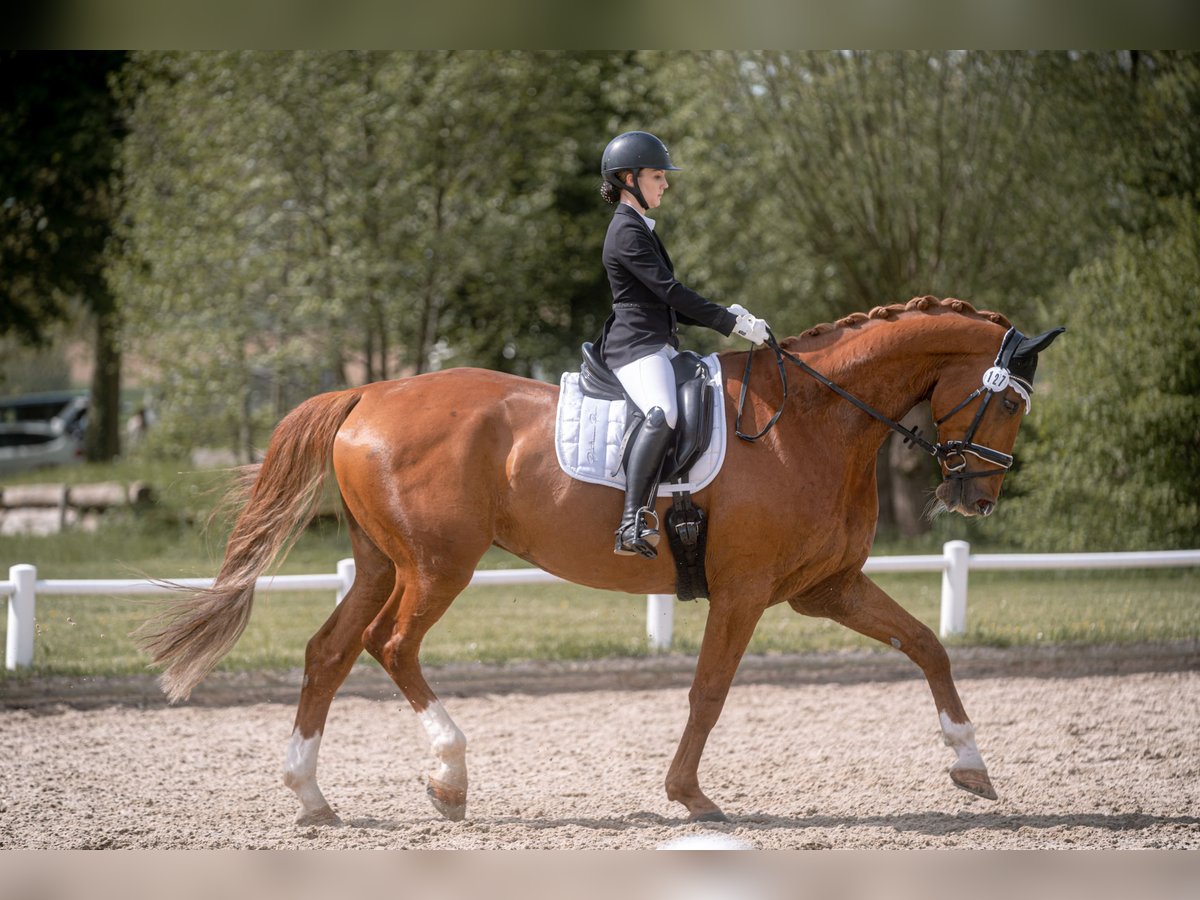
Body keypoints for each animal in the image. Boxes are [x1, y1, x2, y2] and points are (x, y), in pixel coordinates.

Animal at [136, 296, 1065, 825]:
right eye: (1008, 404)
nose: (976, 499)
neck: (811, 420)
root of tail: (370, 391)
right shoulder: (744, 592)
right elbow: (709, 693)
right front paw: (691, 797)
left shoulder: (826, 588)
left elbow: (928, 645)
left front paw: (972, 767)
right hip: (437, 568)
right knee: (390, 647)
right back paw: (449, 779)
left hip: (380, 563)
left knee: (328, 652)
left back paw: (312, 798)